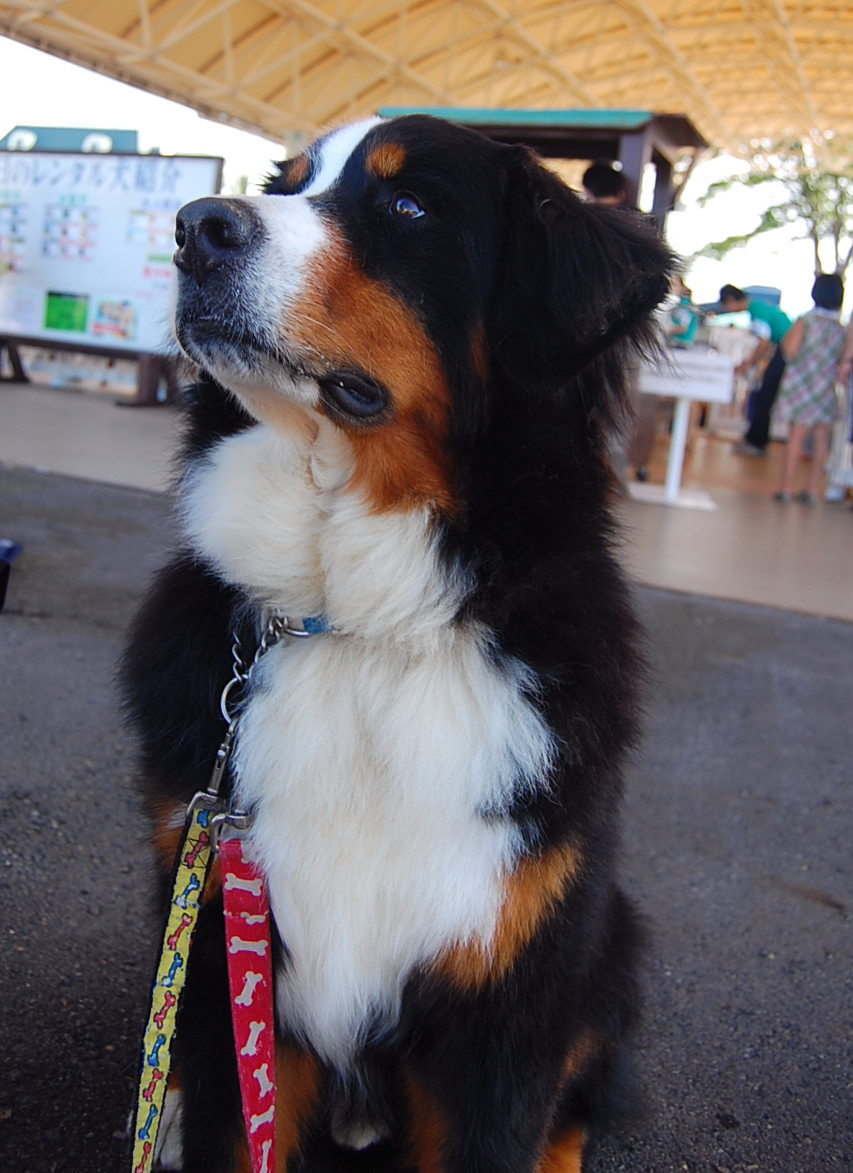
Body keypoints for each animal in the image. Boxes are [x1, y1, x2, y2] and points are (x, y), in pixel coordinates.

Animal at [123, 112, 675, 1173]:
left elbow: (512, 1119)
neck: (361, 627)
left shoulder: (506, 986)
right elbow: (227, 1122)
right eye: (286, 184)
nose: (194, 226)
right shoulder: (223, 951)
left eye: (408, 206)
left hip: (610, 940)